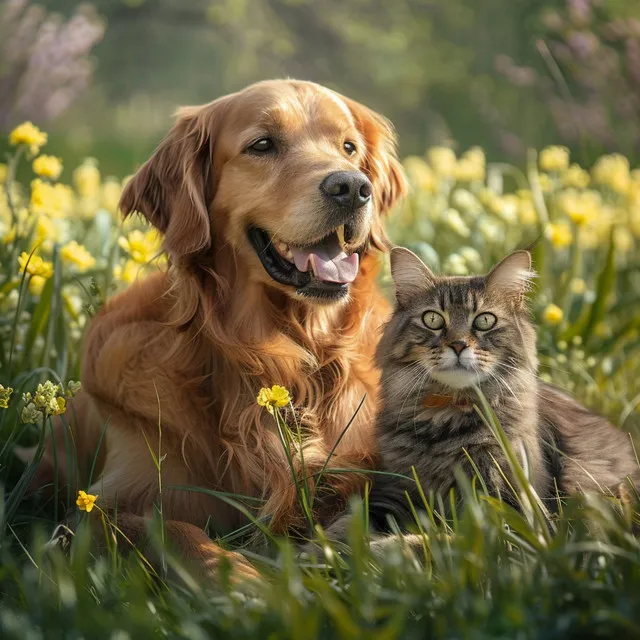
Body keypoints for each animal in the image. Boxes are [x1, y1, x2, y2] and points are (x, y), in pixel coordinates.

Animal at [25, 79, 408, 580]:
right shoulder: (95, 509)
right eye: (262, 145)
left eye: (348, 148)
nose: (352, 188)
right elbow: (172, 530)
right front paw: (243, 581)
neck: (277, 355)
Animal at [308, 248, 636, 548]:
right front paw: (318, 553)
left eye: (484, 321)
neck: (446, 420)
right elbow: (346, 524)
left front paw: (374, 552)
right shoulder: (395, 492)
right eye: (432, 319)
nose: (457, 345)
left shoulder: (512, 513)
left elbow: (430, 541)